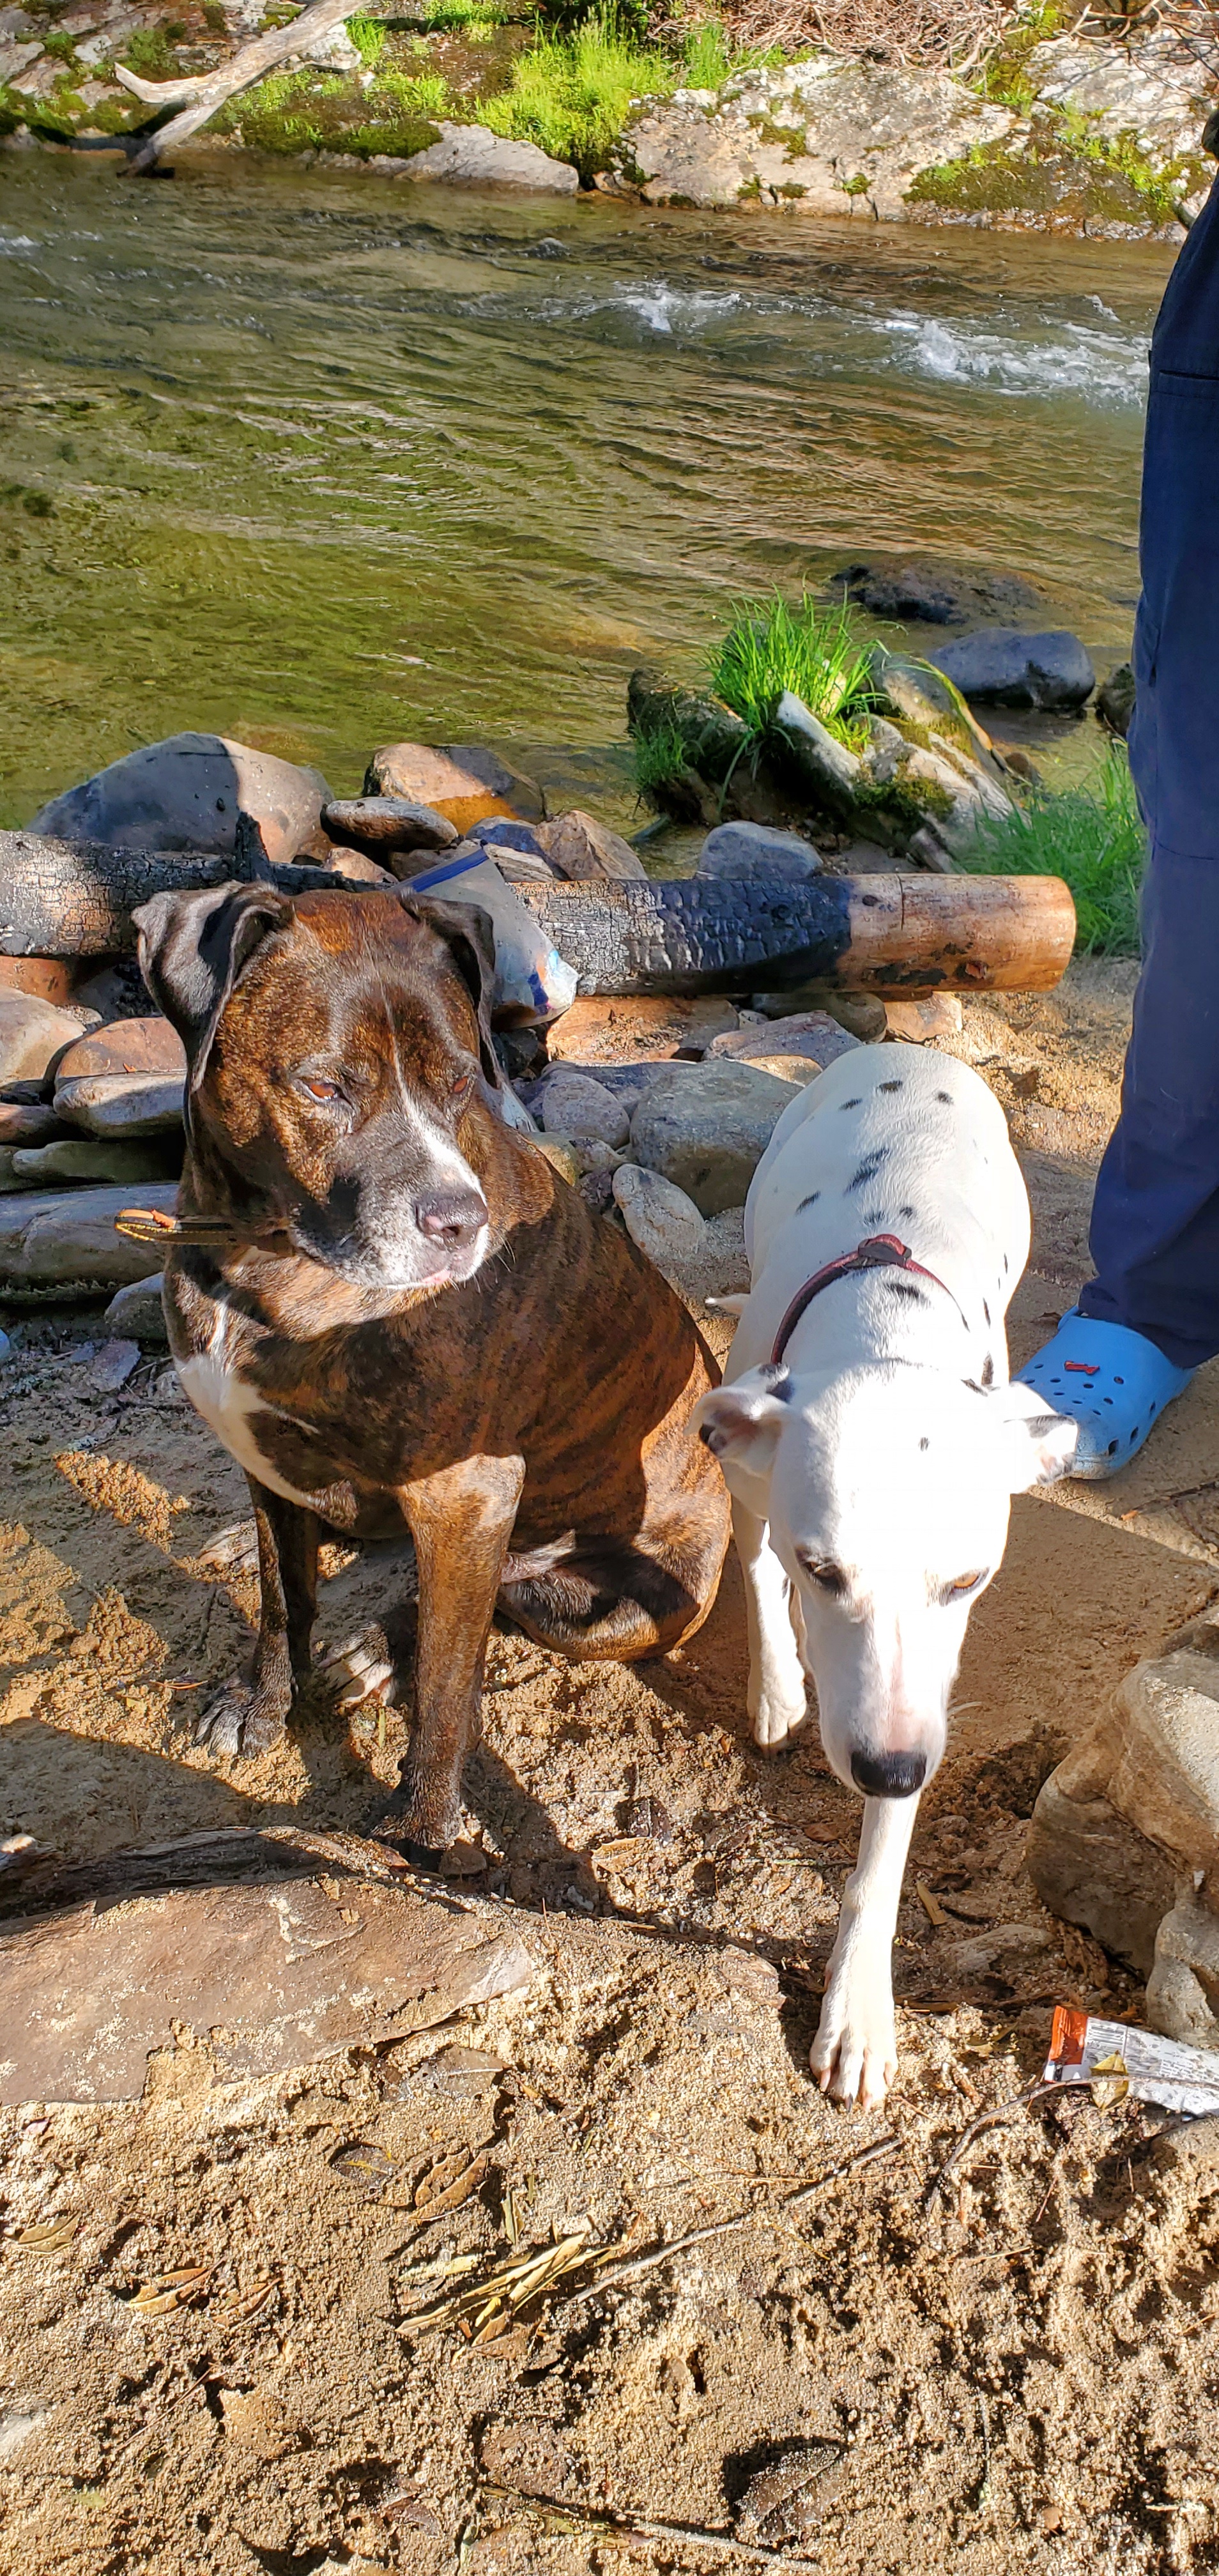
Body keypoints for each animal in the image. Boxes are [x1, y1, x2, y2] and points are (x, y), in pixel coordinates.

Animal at [132, 880, 726, 1855]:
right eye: (324, 1087)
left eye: (458, 1083)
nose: (461, 1222)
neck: (262, 1255)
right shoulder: (261, 1453)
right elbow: (282, 1600)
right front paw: (262, 1702)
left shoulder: (467, 1496)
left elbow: (450, 1683)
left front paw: (422, 1828)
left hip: (620, 1606)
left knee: (497, 1602)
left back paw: (381, 1646)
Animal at [696, 1045, 1072, 2112]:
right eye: (824, 1569)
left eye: (970, 1580)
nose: (890, 1768)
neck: (880, 1327)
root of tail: (909, 1049)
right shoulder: (755, 1489)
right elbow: (754, 1574)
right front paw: (779, 1685)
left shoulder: (918, 1697)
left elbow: (880, 1869)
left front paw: (859, 2013)